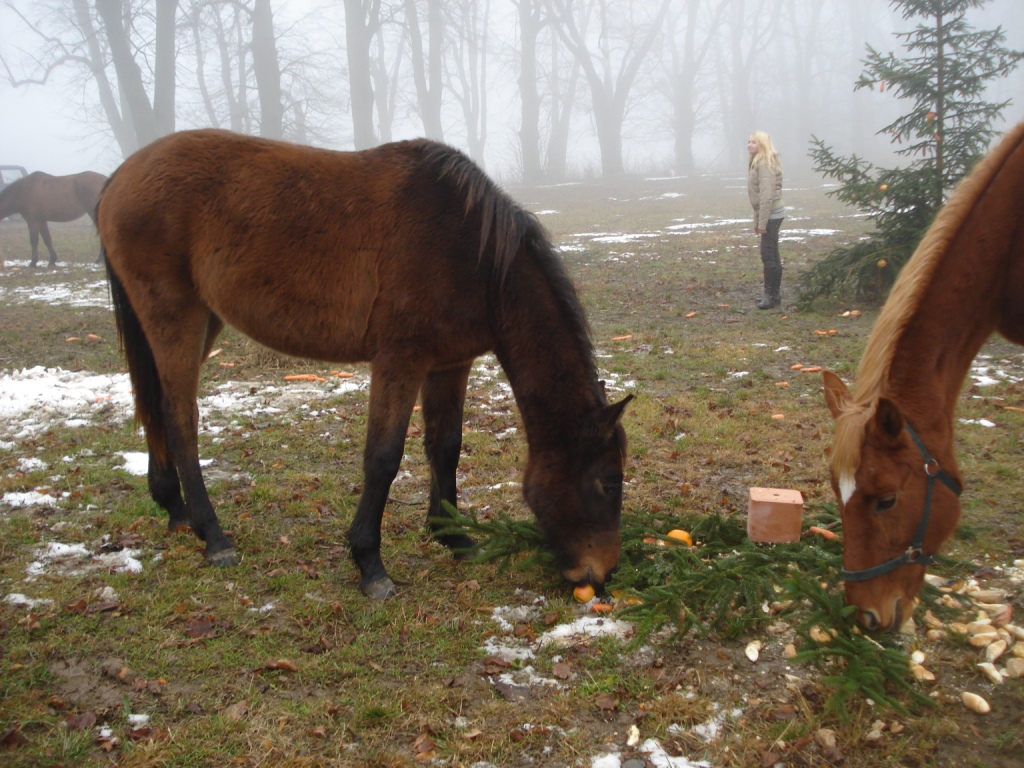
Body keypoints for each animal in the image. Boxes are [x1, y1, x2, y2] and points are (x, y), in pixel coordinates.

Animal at [101, 129, 630, 602]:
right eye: (608, 481)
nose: (601, 574)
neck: (472, 252)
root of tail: (119, 176)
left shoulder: (449, 364)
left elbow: (446, 447)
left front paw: (453, 536)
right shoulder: (399, 360)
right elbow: (383, 458)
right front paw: (370, 564)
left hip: (202, 320)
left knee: (157, 409)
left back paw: (174, 508)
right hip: (177, 317)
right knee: (180, 420)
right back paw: (213, 536)